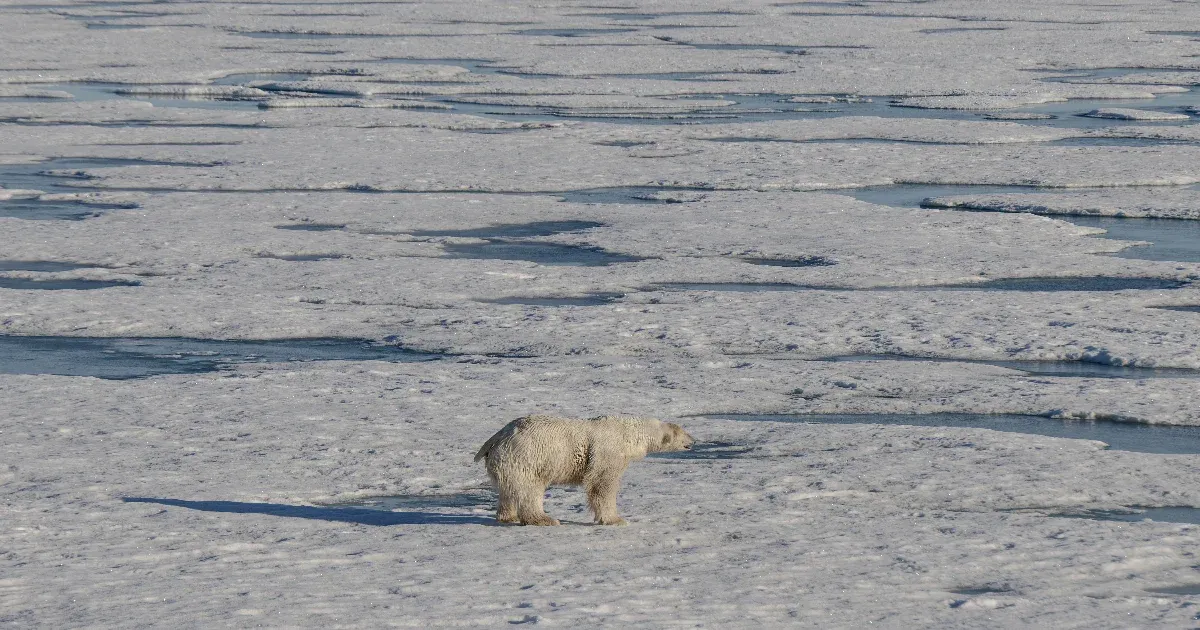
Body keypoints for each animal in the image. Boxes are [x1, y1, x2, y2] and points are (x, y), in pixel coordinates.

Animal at [470, 412, 696, 525]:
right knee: (530, 490)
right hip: (526, 457)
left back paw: (508, 516)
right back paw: (544, 519)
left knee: (508, 490)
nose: (693, 441)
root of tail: (496, 438)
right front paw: (615, 519)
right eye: (684, 433)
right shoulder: (607, 450)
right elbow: (601, 483)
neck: (628, 433)